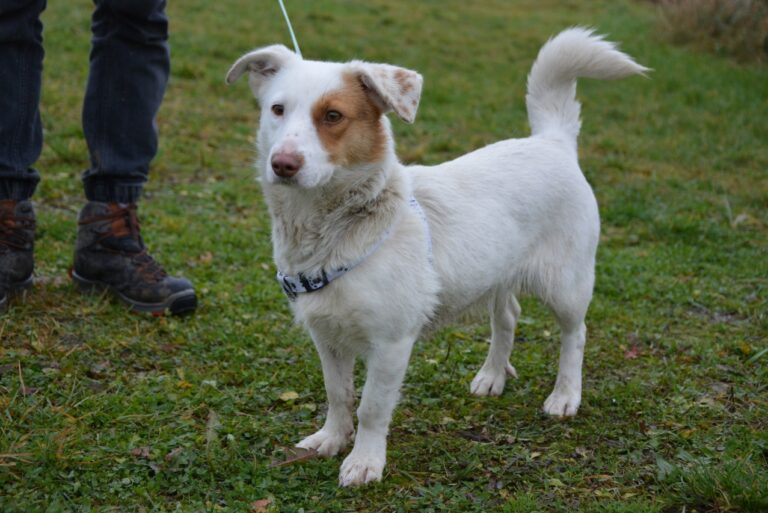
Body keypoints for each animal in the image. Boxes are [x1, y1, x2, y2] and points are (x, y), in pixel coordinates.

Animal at [226, 27, 648, 484]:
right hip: (497, 272)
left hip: (565, 285)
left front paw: (365, 460)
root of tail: (551, 141)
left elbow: (371, 407)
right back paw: (492, 376)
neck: (337, 229)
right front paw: (333, 438)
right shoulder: (327, 336)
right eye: (277, 109)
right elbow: (338, 394)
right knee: (508, 318)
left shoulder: (391, 343)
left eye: (333, 116)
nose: (282, 164)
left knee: (576, 334)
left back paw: (566, 394)